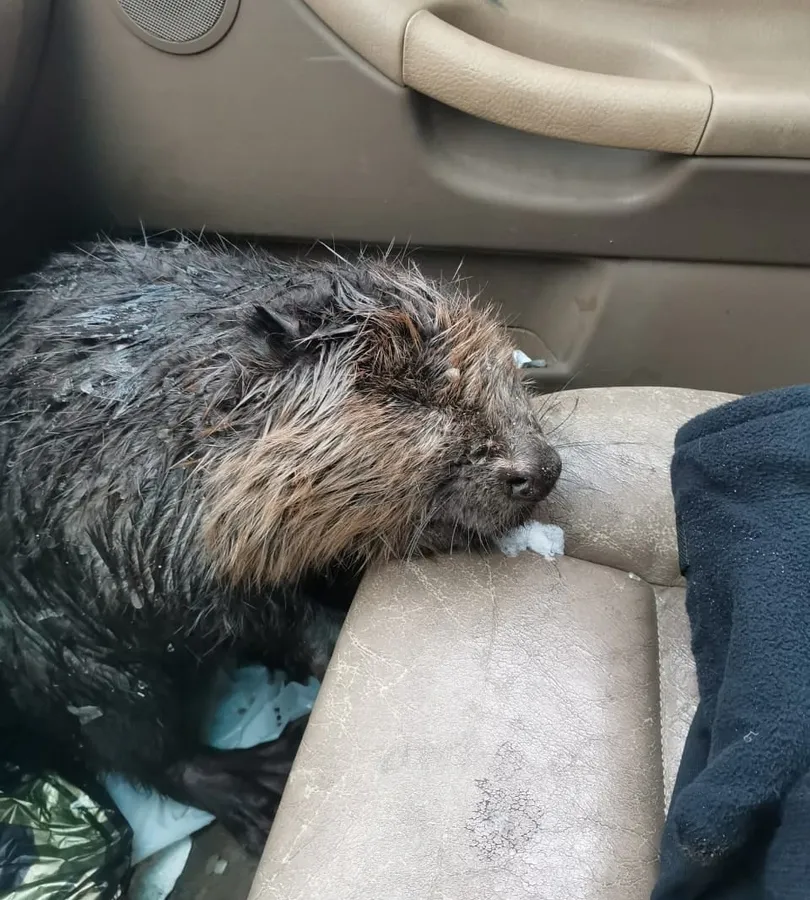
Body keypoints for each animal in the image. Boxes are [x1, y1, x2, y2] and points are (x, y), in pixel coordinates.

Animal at [0, 238, 561, 855]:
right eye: (409, 391)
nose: (542, 469)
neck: (189, 405)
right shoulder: (135, 516)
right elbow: (223, 606)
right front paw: (333, 641)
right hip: (67, 667)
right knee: (144, 746)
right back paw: (259, 783)